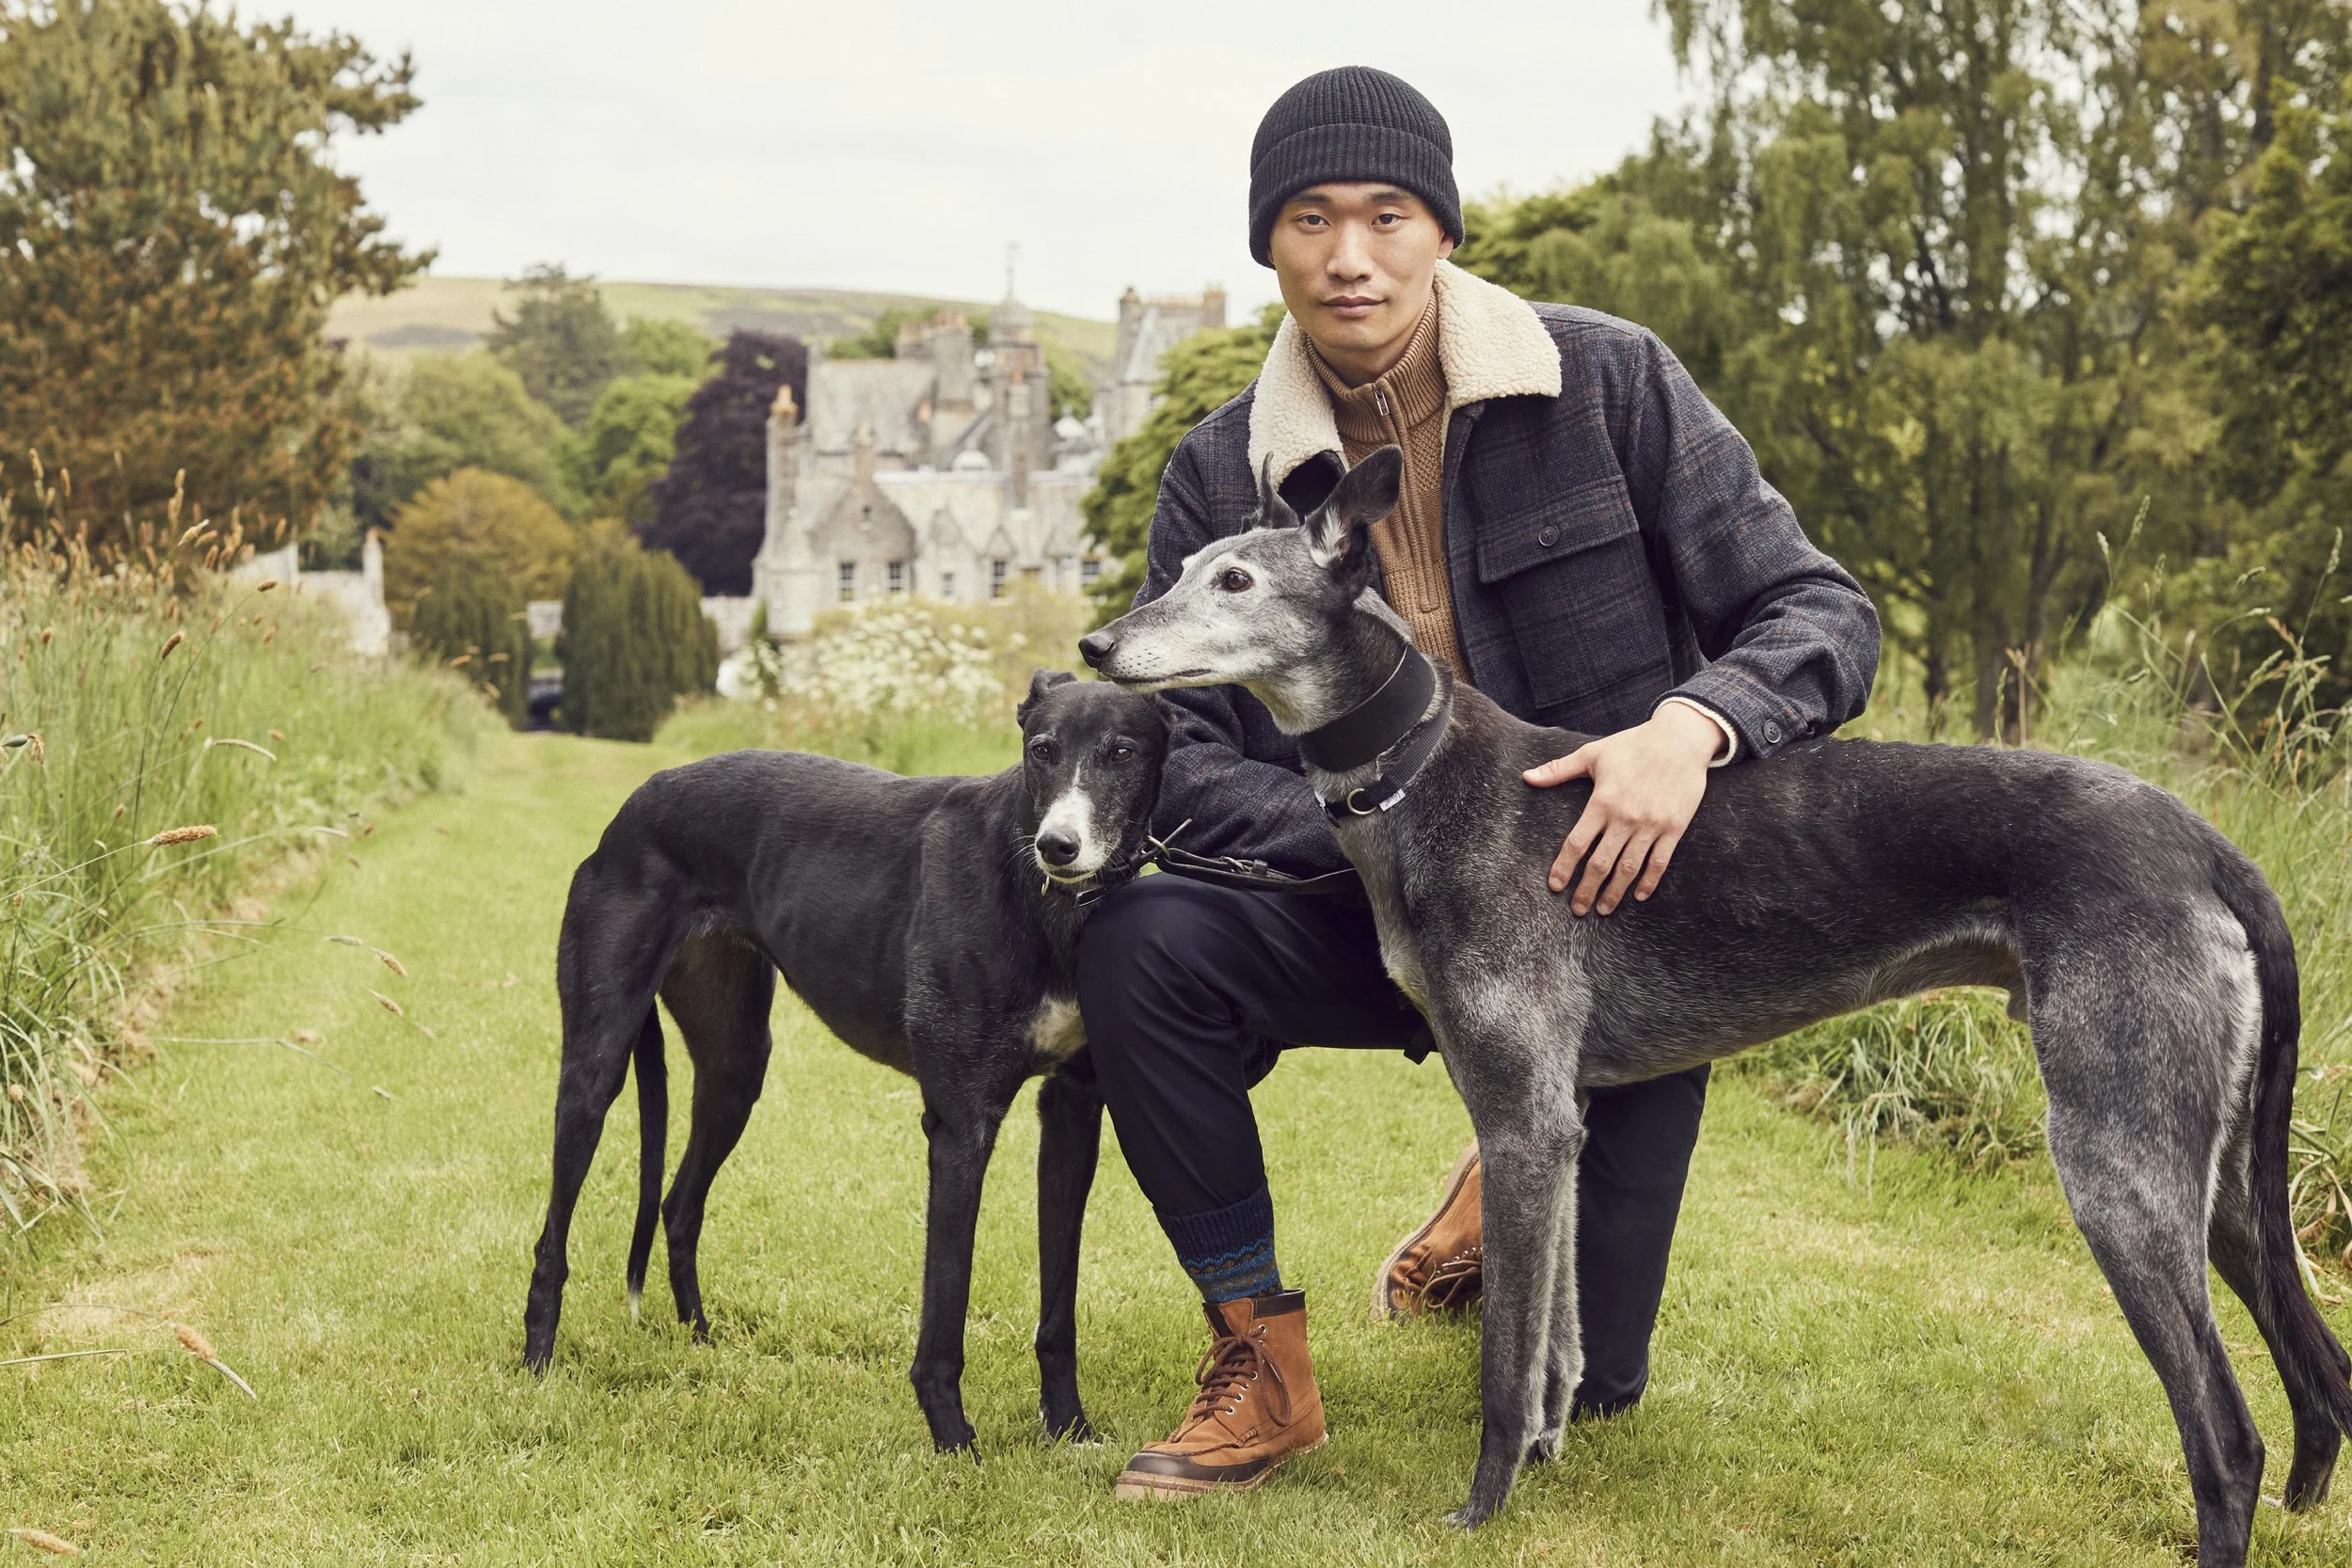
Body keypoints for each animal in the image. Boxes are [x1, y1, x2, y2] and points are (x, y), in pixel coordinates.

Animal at [521, 672, 1169, 1451]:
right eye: (1041, 750)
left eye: (1122, 751)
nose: (1060, 846)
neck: (1041, 897)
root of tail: (632, 807)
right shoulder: (961, 1123)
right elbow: (946, 1300)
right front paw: (954, 1440)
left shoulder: (1072, 1113)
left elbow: (1058, 1302)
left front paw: (1069, 1426)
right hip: (597, 1060)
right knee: (553, 1234)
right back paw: (536, 1363)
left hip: (735, 1066)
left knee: (680, 1202)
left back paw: (698, 1340)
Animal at [1078, 444, 2352, 1567]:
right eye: (1184, 567)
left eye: (1235, 581)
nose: (1095, 642)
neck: (1422, 769)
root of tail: (2205, 842)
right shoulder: (1559, 1123)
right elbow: (1558, 1340)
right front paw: (1545, 1459)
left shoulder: (1521, 1122)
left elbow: (1504, 1360)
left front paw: (1481, 1510)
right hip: (2218, 1177)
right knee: (2322, 1377)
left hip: (2118, 1163)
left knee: (2228, 1438)